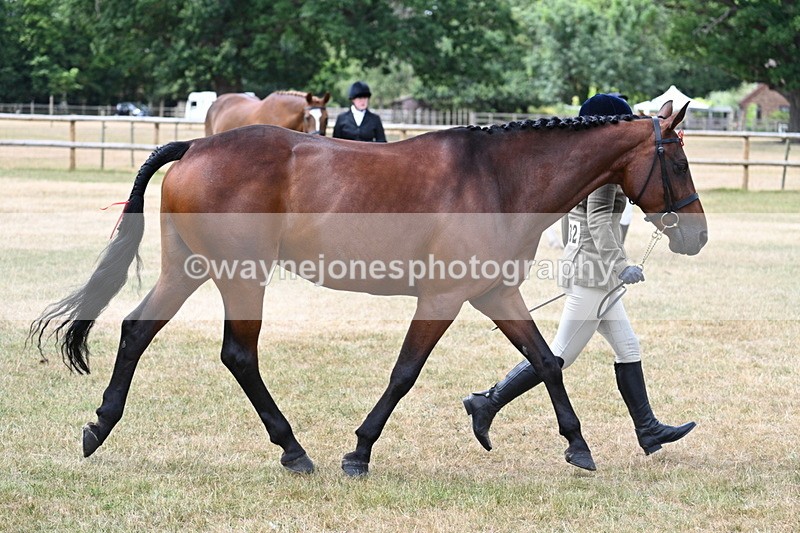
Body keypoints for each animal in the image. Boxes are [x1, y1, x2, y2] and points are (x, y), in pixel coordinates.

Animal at [31, 100, 707, 477]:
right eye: (677, 162)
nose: (697, 236)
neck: (497, 178)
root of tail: (195, 143)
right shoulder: (442, 299)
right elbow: (404, 373)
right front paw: (358, 452)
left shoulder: (493, 293)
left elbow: (544, 360)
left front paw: (575, 446)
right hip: (240, 277)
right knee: (238, 354)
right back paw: (293, 450)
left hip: (186, 270)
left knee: (137, 330)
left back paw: (99, 428)